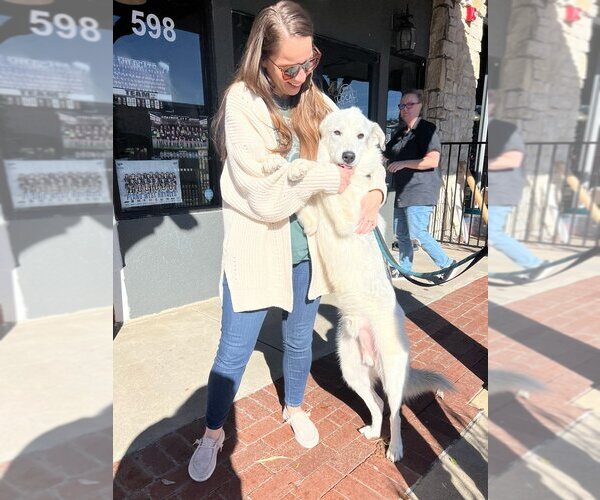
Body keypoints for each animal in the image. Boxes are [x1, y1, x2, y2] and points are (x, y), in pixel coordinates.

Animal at [298, 107, 452, 462]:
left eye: (360, 136)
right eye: (337, 133)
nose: (349, 156)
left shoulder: (345, 213)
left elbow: (327, 186)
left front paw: (305, 169)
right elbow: (308, 207)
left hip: (392, 374)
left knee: (396, 412)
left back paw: (395, 449)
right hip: (352, 371)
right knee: (378, 404)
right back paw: (372, 431)